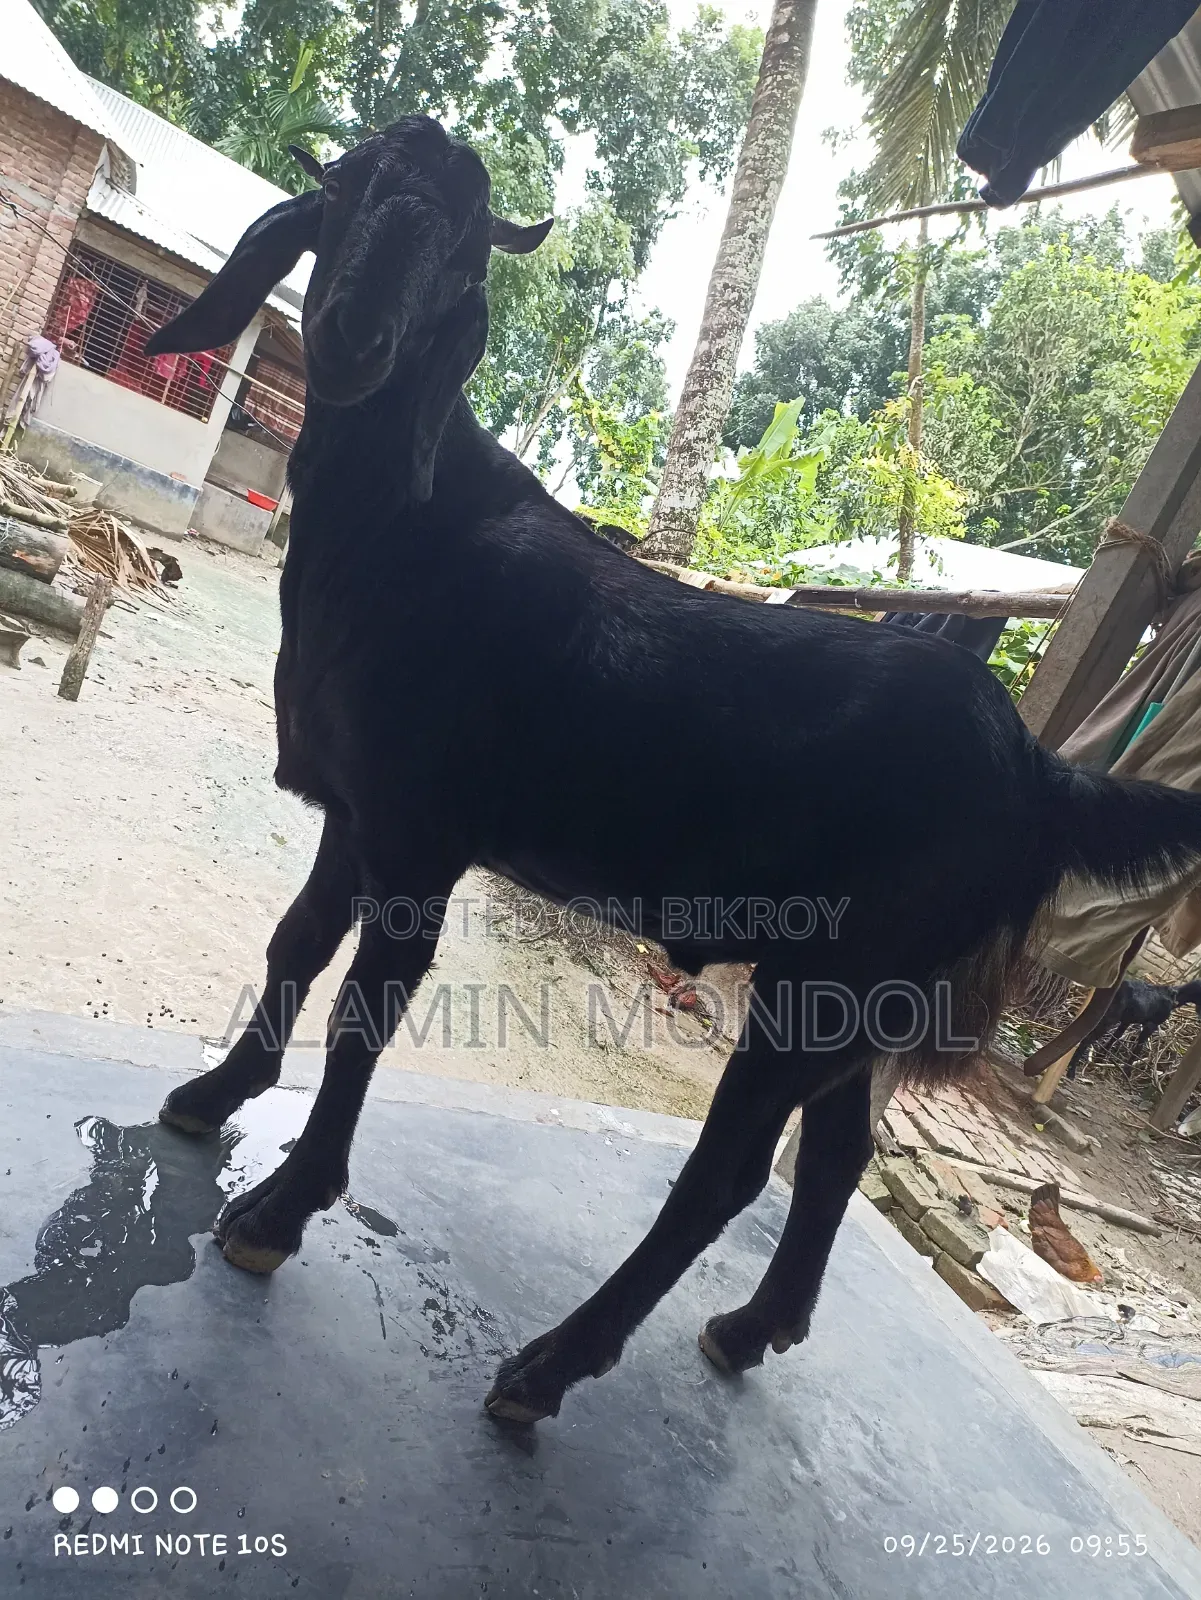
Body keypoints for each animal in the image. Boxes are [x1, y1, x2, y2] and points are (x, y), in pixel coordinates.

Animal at [1068, 977, 1201, 1076]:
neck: (1174, 996)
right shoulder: (1151, 1024)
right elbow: (1139, 1046)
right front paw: (1127, 1072)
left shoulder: (1127, 1020)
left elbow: (1117, 1036)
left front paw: (1100, 1057)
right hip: (1110, 1017)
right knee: (1087, 1037)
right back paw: (1071, 1072)